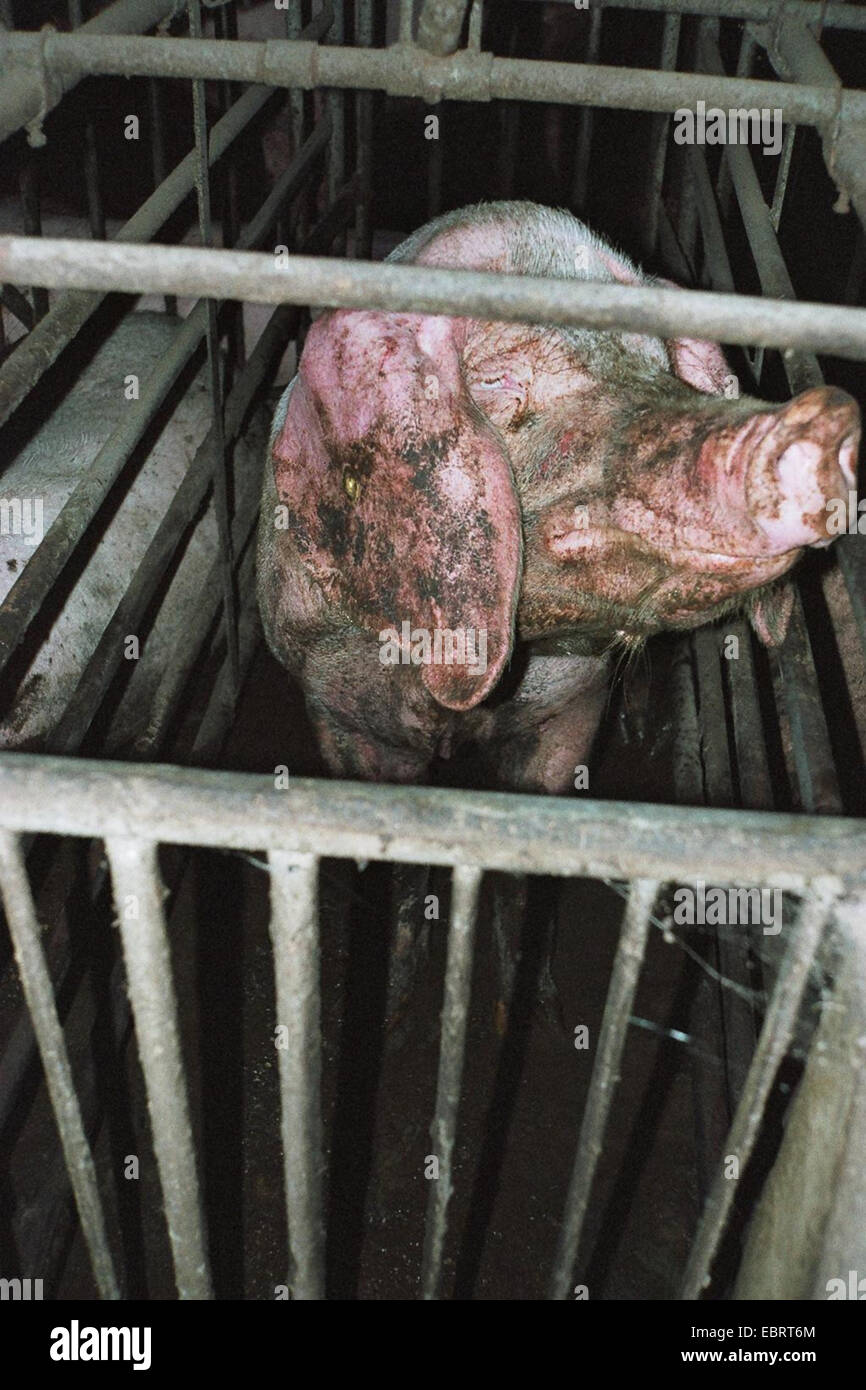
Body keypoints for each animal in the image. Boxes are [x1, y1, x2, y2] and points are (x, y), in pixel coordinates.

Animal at [257, 198, 861, 1011]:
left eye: (658, 364)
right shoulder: (337, 709)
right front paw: (399, 997)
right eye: (496, 379)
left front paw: (526, 1002)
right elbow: (397, 864)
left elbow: (528, 857)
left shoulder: (573, 705)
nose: (824, 417)